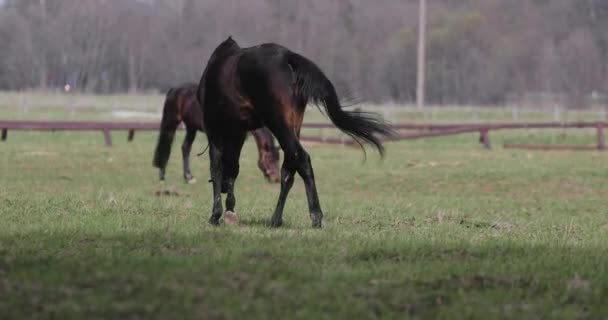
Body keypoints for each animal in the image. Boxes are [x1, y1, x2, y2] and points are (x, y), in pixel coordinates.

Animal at [154, 83, 282, 185]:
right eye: (271, 159)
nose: (276, 179)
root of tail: (175, 89)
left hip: (191, 127)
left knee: (185, 147)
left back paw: (189, 178)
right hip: (171, 122)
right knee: (166, 144)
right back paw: (162, 177)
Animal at [198, 37, 394, 228]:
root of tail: (287, 57)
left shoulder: (214, 129)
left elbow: (216, 167)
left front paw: (216, 215)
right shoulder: (238, 132)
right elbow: (233, 168)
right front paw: (229, 210)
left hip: (278, 124)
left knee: (301, 159)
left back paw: (315, 216)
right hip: (293, 125)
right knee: (289, 167)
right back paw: (276, 219)